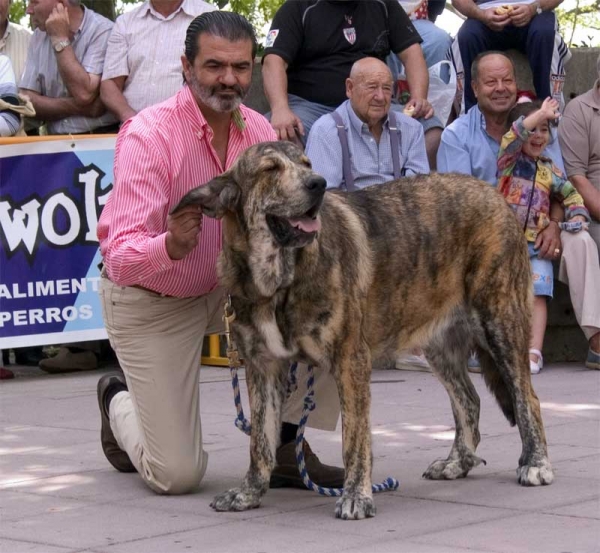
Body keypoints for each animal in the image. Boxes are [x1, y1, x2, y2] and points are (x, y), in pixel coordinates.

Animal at [172, 140, 552, 520]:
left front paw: (356, 495)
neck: (278, 279)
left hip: (500, 323)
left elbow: (353, 437)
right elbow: (260, 440)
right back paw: (458, 462)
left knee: (527, 397)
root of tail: (494, 192)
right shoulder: (263, 369)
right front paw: (249, 492)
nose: (318, 184)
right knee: (468, 399)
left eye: (306, 163)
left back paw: (535, 462)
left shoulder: (350, 361)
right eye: (270, 169)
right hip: (440, 345)